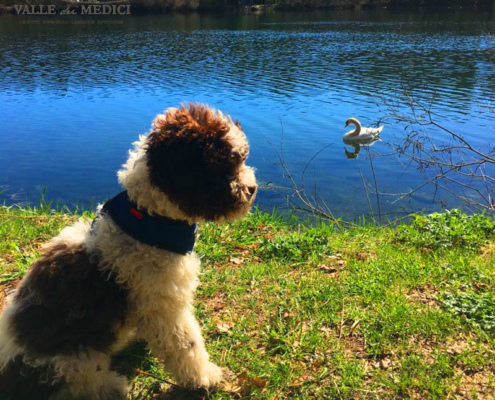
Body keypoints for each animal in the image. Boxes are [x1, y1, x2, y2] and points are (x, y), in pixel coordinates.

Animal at [0, 104, 260, 400]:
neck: (149, 218)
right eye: (223, 164)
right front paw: (206, 377)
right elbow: (186, 344)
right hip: (76, 359)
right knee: (82, 385)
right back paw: (114, 385)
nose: (252, 189)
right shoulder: (163, 304)